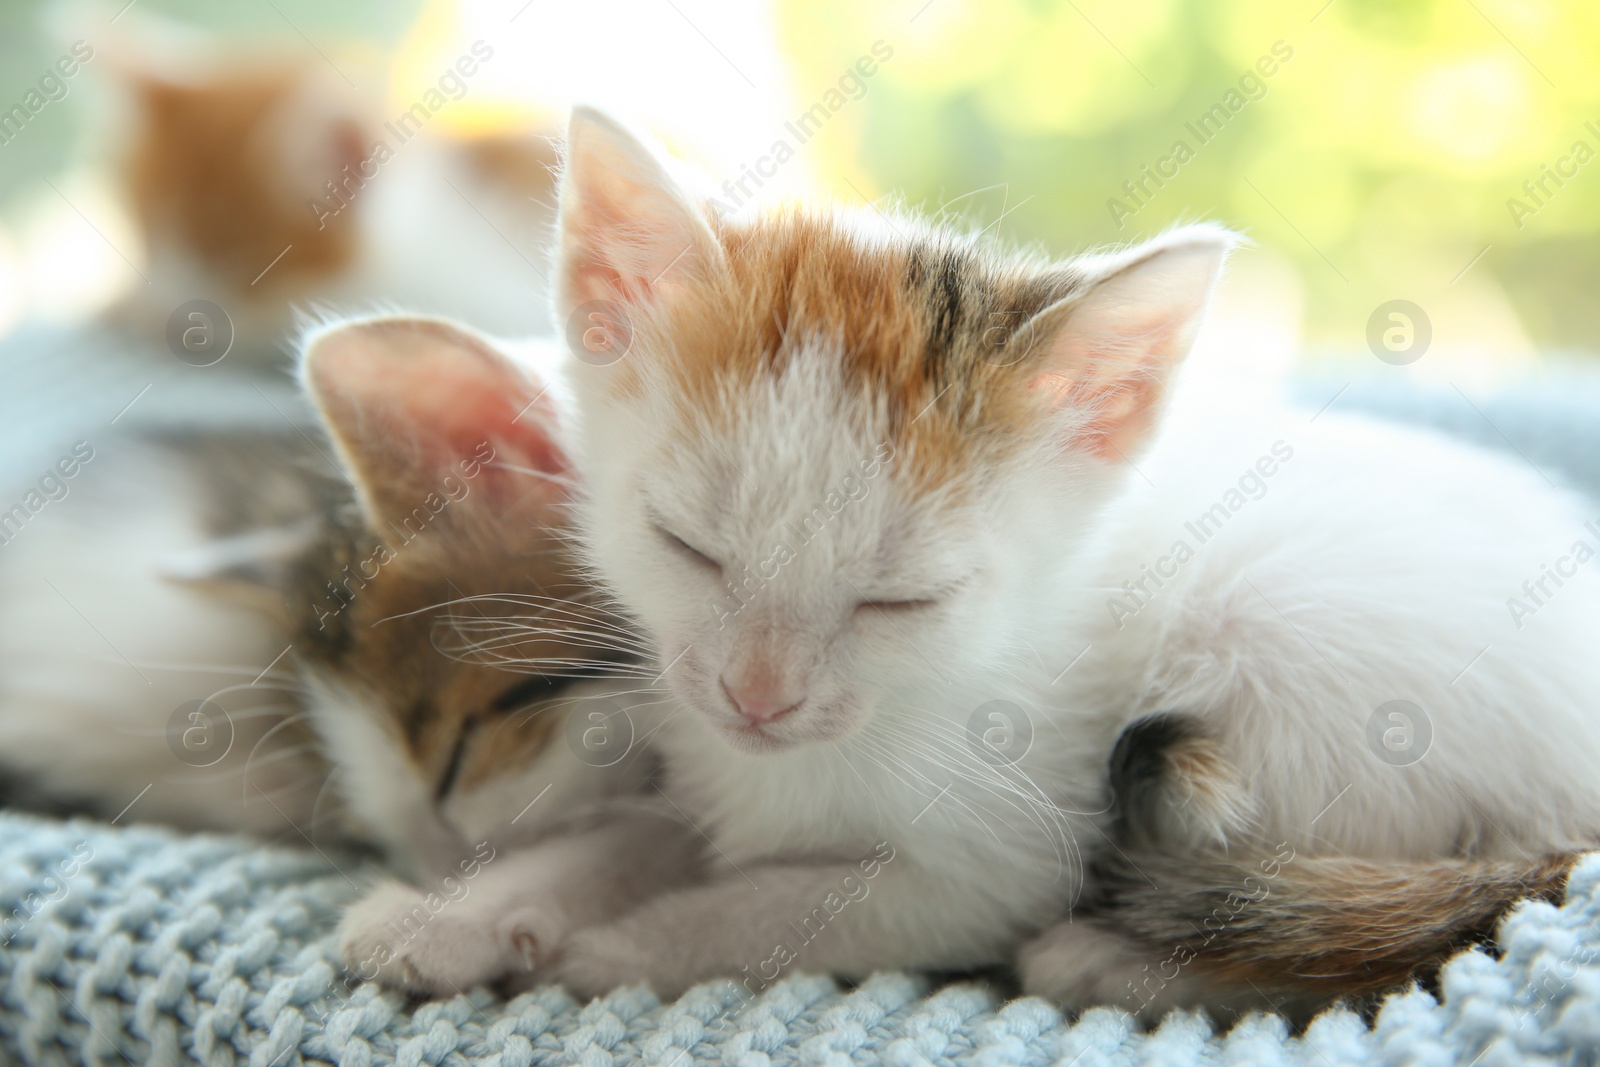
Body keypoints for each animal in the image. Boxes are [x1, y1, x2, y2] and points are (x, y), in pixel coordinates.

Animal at [531, 108, 1600, 1011]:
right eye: (685, 544)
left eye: (903, 599)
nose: (759, 696)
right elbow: (646, 833)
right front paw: (515, 902)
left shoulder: (1000, 864)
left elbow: (792, 910)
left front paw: (631, 945)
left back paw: (1104, 960)